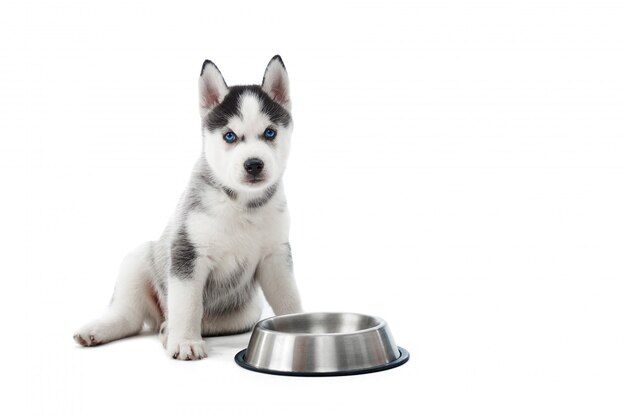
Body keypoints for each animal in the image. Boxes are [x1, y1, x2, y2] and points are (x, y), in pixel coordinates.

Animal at [73, 56, 302, 360]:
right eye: (230, 136)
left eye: (270, 132)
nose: (253, 164)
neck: (241, 204)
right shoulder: (187, 253)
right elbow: (187, 304)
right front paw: (185, 342)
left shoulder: (275, 256)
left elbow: (289, 299)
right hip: (139, 259)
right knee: (130, 316)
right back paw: (103, 329)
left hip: (245, 311)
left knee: (203, 319)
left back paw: (167, 330)